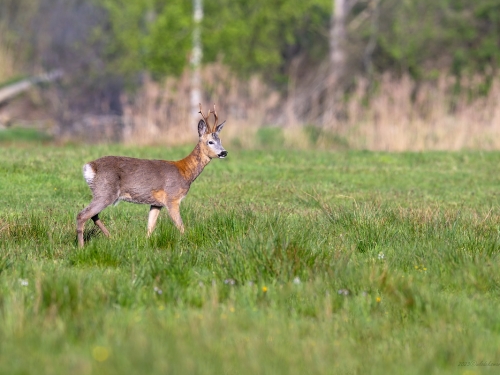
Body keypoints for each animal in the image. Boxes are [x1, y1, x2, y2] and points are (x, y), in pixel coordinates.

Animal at [75, 104, 228, 248]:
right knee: (82, 215)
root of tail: (89, 167)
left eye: (220, 140)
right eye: (210, 142)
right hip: (105, 191)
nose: (224, 152)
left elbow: (150, 227)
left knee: (93, 215)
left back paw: (111, 237)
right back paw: (82, 247)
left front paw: (146, 243)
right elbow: (181, 226)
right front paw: (188, 242)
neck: (185, 172)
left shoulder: (156, 203)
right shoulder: (172, 198)